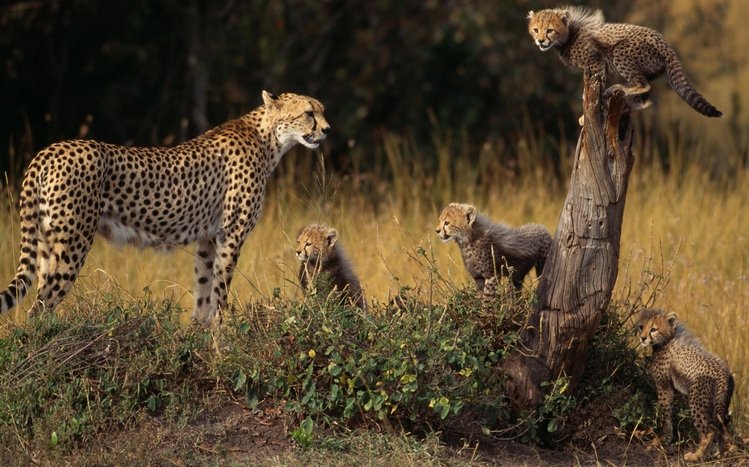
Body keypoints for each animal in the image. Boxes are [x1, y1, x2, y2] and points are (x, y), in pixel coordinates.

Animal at [0, 91, 330, 326]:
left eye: (321, 110)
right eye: (308, 113)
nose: (327, 130)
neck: (269, 139)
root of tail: (48, 150)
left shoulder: (208, 239)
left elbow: (203, 289)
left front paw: (200, 334)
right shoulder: (231, 235)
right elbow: (220, 291)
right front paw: (223, 336)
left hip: (47, 243)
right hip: (72, 244)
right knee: (39, 309)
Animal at [527, 6, 722, 118]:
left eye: (550, 30)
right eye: (536, 30)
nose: (540, 41)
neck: (569, 35)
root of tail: (666, 44)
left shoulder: (597, 62)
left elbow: (595, 87)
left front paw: (586, 116)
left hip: (620, 52)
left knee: (642, 84)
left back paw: (619, 88)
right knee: (647, 98)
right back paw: (634, 103)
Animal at [637, 308, 735, 461]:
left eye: (653, 329)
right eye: (641, 327)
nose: (642, 338)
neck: (667, 339)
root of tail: (724, 374)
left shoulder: (664, 386)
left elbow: (666, 412)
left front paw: (663, 438)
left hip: (697, 402)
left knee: (709, 431)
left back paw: (696, 456)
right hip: (721, 403)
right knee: (721, 427)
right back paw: (721, 453)